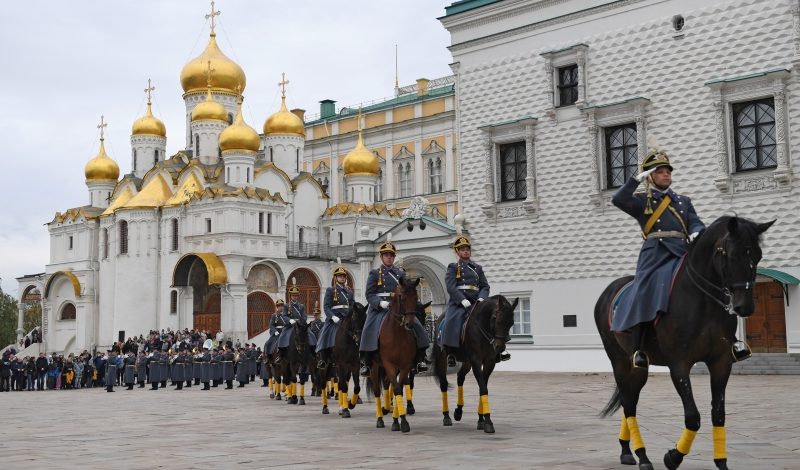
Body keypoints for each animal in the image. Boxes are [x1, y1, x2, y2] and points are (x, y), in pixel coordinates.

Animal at [366, 276, 422, 434]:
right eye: (402, 297)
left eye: (416, 298)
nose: (409, 324)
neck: (397, 334)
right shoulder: (388, 364)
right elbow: (396, 388)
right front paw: (402, 421)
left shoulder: (404, 365)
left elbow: (399, 389)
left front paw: (398, 421)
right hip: (375, 366)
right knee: (377, 390)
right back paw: (380, 418)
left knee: (387, 383)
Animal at [434, 294, 516, 434]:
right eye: (497, 320)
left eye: (511, 323)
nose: (499, 347)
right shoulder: (476, 361)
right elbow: (483, 388)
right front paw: (488, 421)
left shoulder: (489, 362)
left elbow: (482, 388)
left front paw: (481, 420)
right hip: (442, 359)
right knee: (444, 384)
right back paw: (446, 416)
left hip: (467, 362)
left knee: (460, 378)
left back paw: (458, 411)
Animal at [592, 216, 776, 470]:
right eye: (730, 254)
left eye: (757, 256)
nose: (745, 307)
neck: (704, 300)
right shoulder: (679, 365)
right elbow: (693, 417)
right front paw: (673, 457)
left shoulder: (721, 363)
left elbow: (718, 413)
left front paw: (721, 463)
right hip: (618, 360)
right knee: (628, 403)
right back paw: (642, 456)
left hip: (639, 368)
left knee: (631, 399)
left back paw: (627, 451)